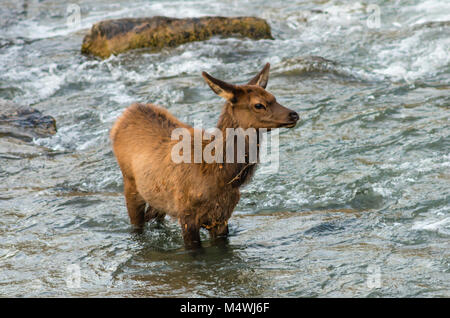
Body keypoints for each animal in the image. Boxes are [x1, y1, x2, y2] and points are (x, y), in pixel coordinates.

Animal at [109, 63, 298, 248]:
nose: (294, 114)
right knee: (137, 225)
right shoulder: (187, 215)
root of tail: (123, 118)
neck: (220, 176)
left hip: (158, 197)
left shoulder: (221, 217)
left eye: (274, 97)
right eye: (258, 104)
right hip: (130, 184)